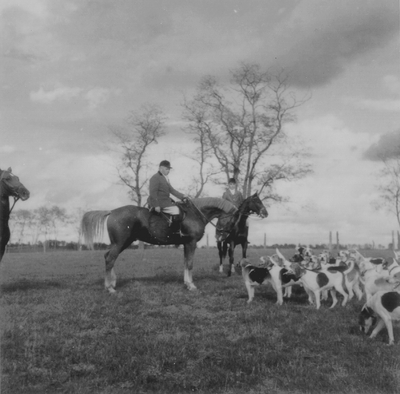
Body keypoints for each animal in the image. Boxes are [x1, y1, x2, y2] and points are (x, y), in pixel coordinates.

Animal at [81, 197, 238, 292]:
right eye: (232, 220)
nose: (221, 237)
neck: (195, 214)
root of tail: (112, 211)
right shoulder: (191, 243)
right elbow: (189, 264)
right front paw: (191, 285)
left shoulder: (186, 244)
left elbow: (185, 262)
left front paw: (186, 283)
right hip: (120, 243)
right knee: (110, 259)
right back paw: (110, 288)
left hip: (123, 243)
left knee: (109, 258)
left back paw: (112, 282)